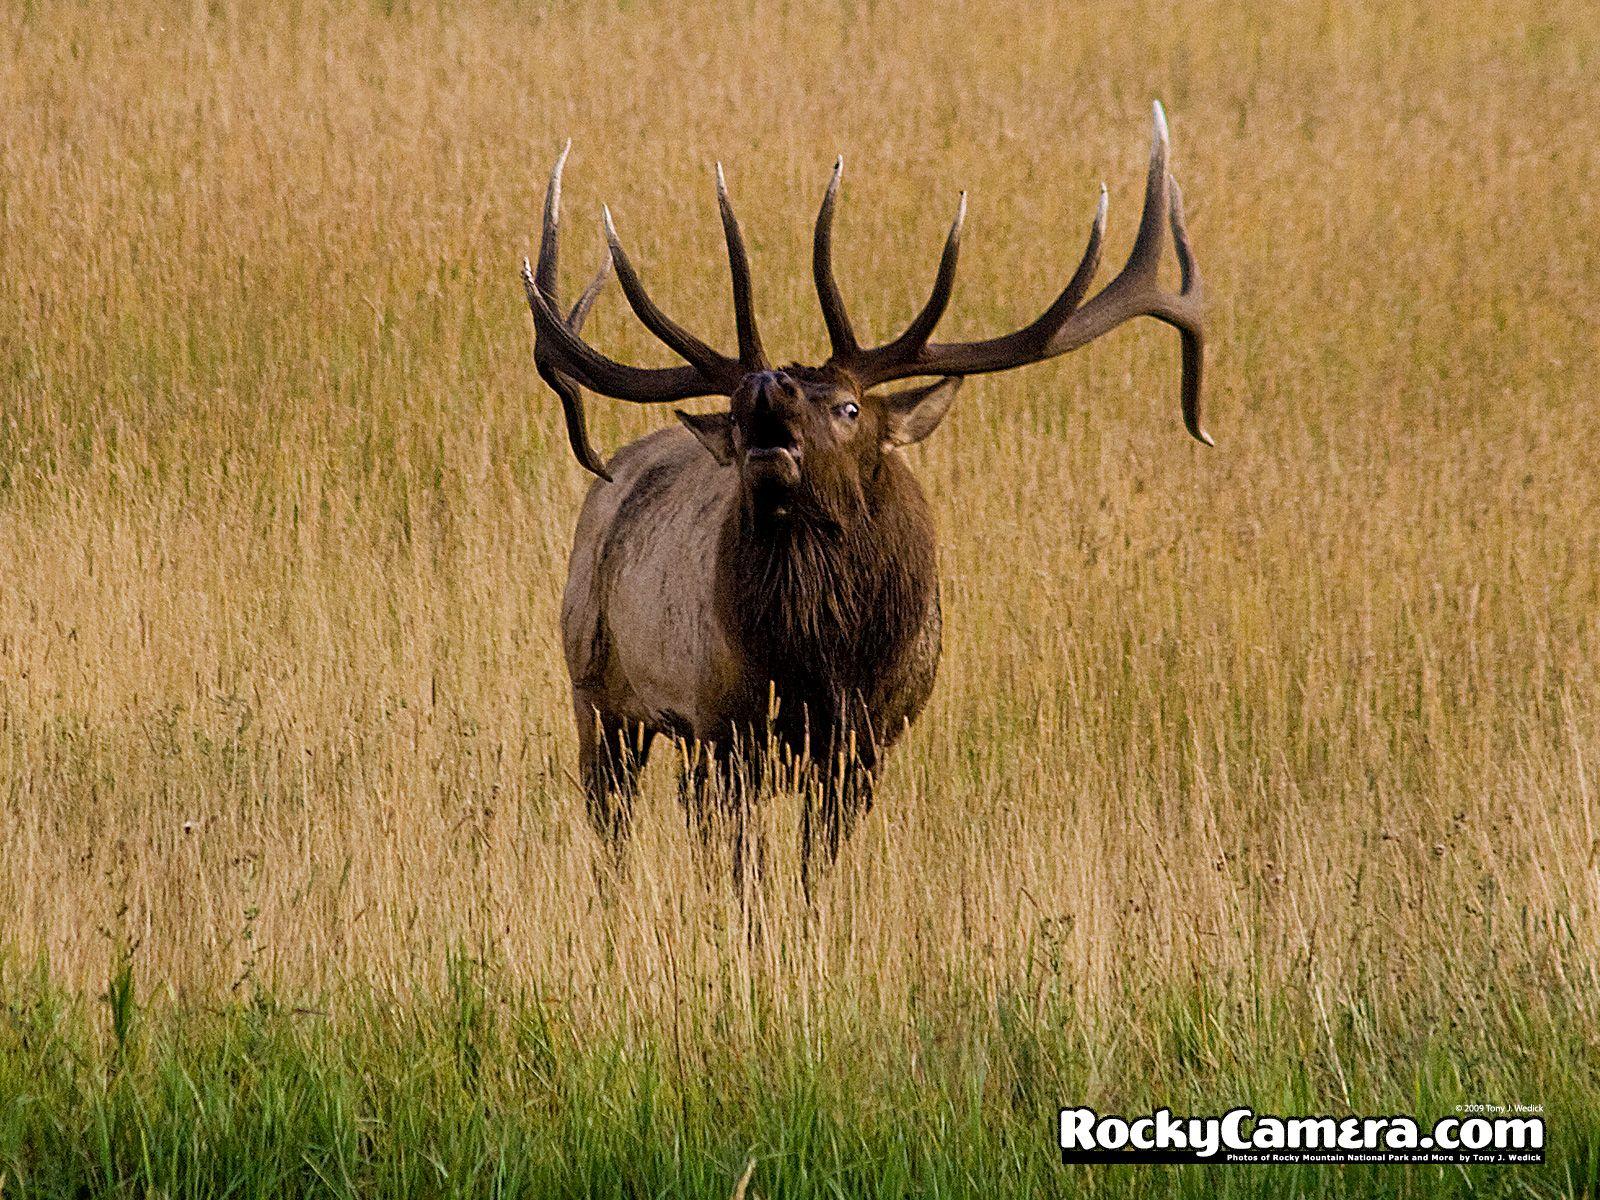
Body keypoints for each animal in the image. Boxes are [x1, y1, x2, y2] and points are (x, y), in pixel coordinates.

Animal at [521, 103, 1207, 894]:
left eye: (850, 407)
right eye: (736, 409)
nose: (768, 388)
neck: (826, 665)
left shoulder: (868, 743)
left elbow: (816, 867)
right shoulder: (726, 726)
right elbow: (746, 872)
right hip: (597, 693)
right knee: (615, 820)